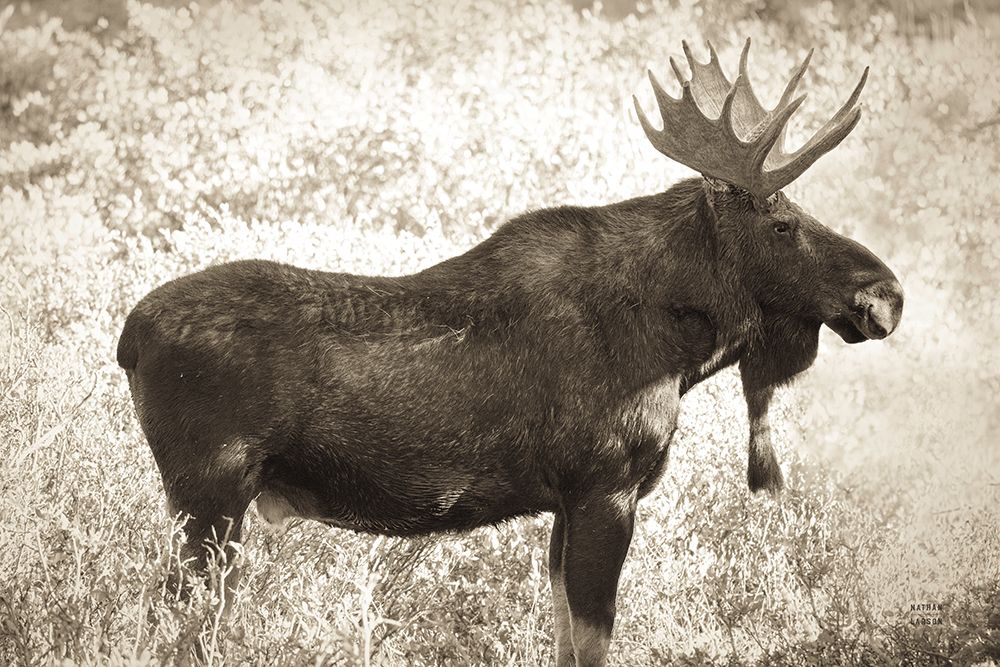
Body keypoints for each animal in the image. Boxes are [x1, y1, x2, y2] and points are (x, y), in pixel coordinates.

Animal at [117, 39, 902, 666]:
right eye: (781, 223)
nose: (887, 293)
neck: (680, 351)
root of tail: (128, 338)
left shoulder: (566, 500)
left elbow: (563, 637)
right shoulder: (606, 485)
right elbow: (592, 640)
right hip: (209, 492)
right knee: (171, 622)